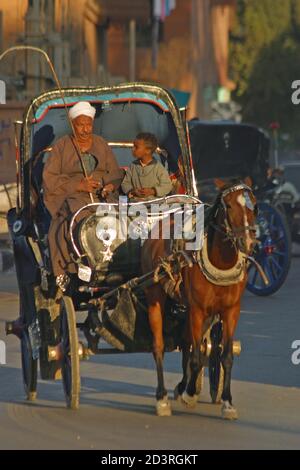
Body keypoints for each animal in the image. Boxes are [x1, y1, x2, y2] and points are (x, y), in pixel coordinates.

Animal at [140, 178, 255, 416]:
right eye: (229, 206)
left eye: (255, 205)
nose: (248, 242)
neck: (221, 262)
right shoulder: (197, 310)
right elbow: (195, 358)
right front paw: (190, 394)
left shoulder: (231, 311)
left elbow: (224, 356)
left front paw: (227, 402)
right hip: (155, 295)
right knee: (159, 346)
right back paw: (162, 397)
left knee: (187, 343)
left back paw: (182, 385)